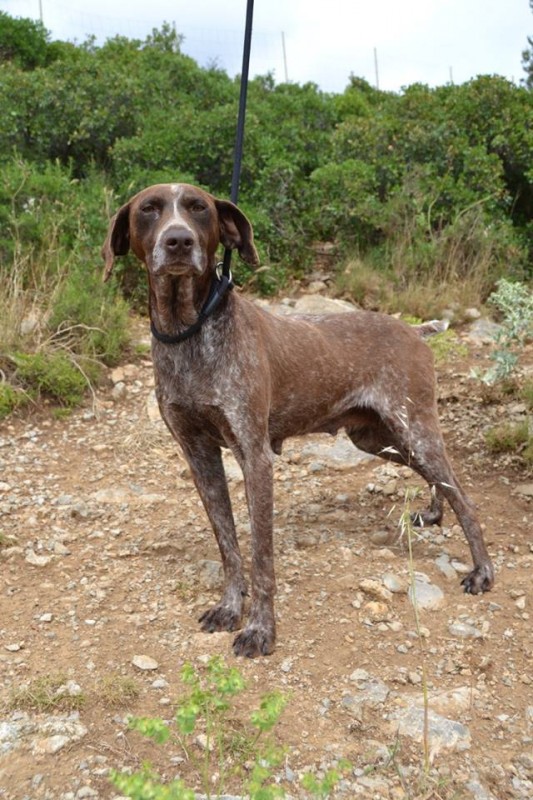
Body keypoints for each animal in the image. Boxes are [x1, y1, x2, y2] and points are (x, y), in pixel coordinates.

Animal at [102, 184, 492, 660]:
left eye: (198, 208)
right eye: (149, 209)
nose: (178, 241)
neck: (189, 334)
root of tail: (414, 332)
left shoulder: (254, 457)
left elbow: (261, 558)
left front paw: (260, 630)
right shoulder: (199, 456)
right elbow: (229, 547)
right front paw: (229, 607)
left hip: (414, 431)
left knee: (464, 497)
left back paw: (482, 570)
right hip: (377, 438)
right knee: (439, 482)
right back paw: (434, 513)